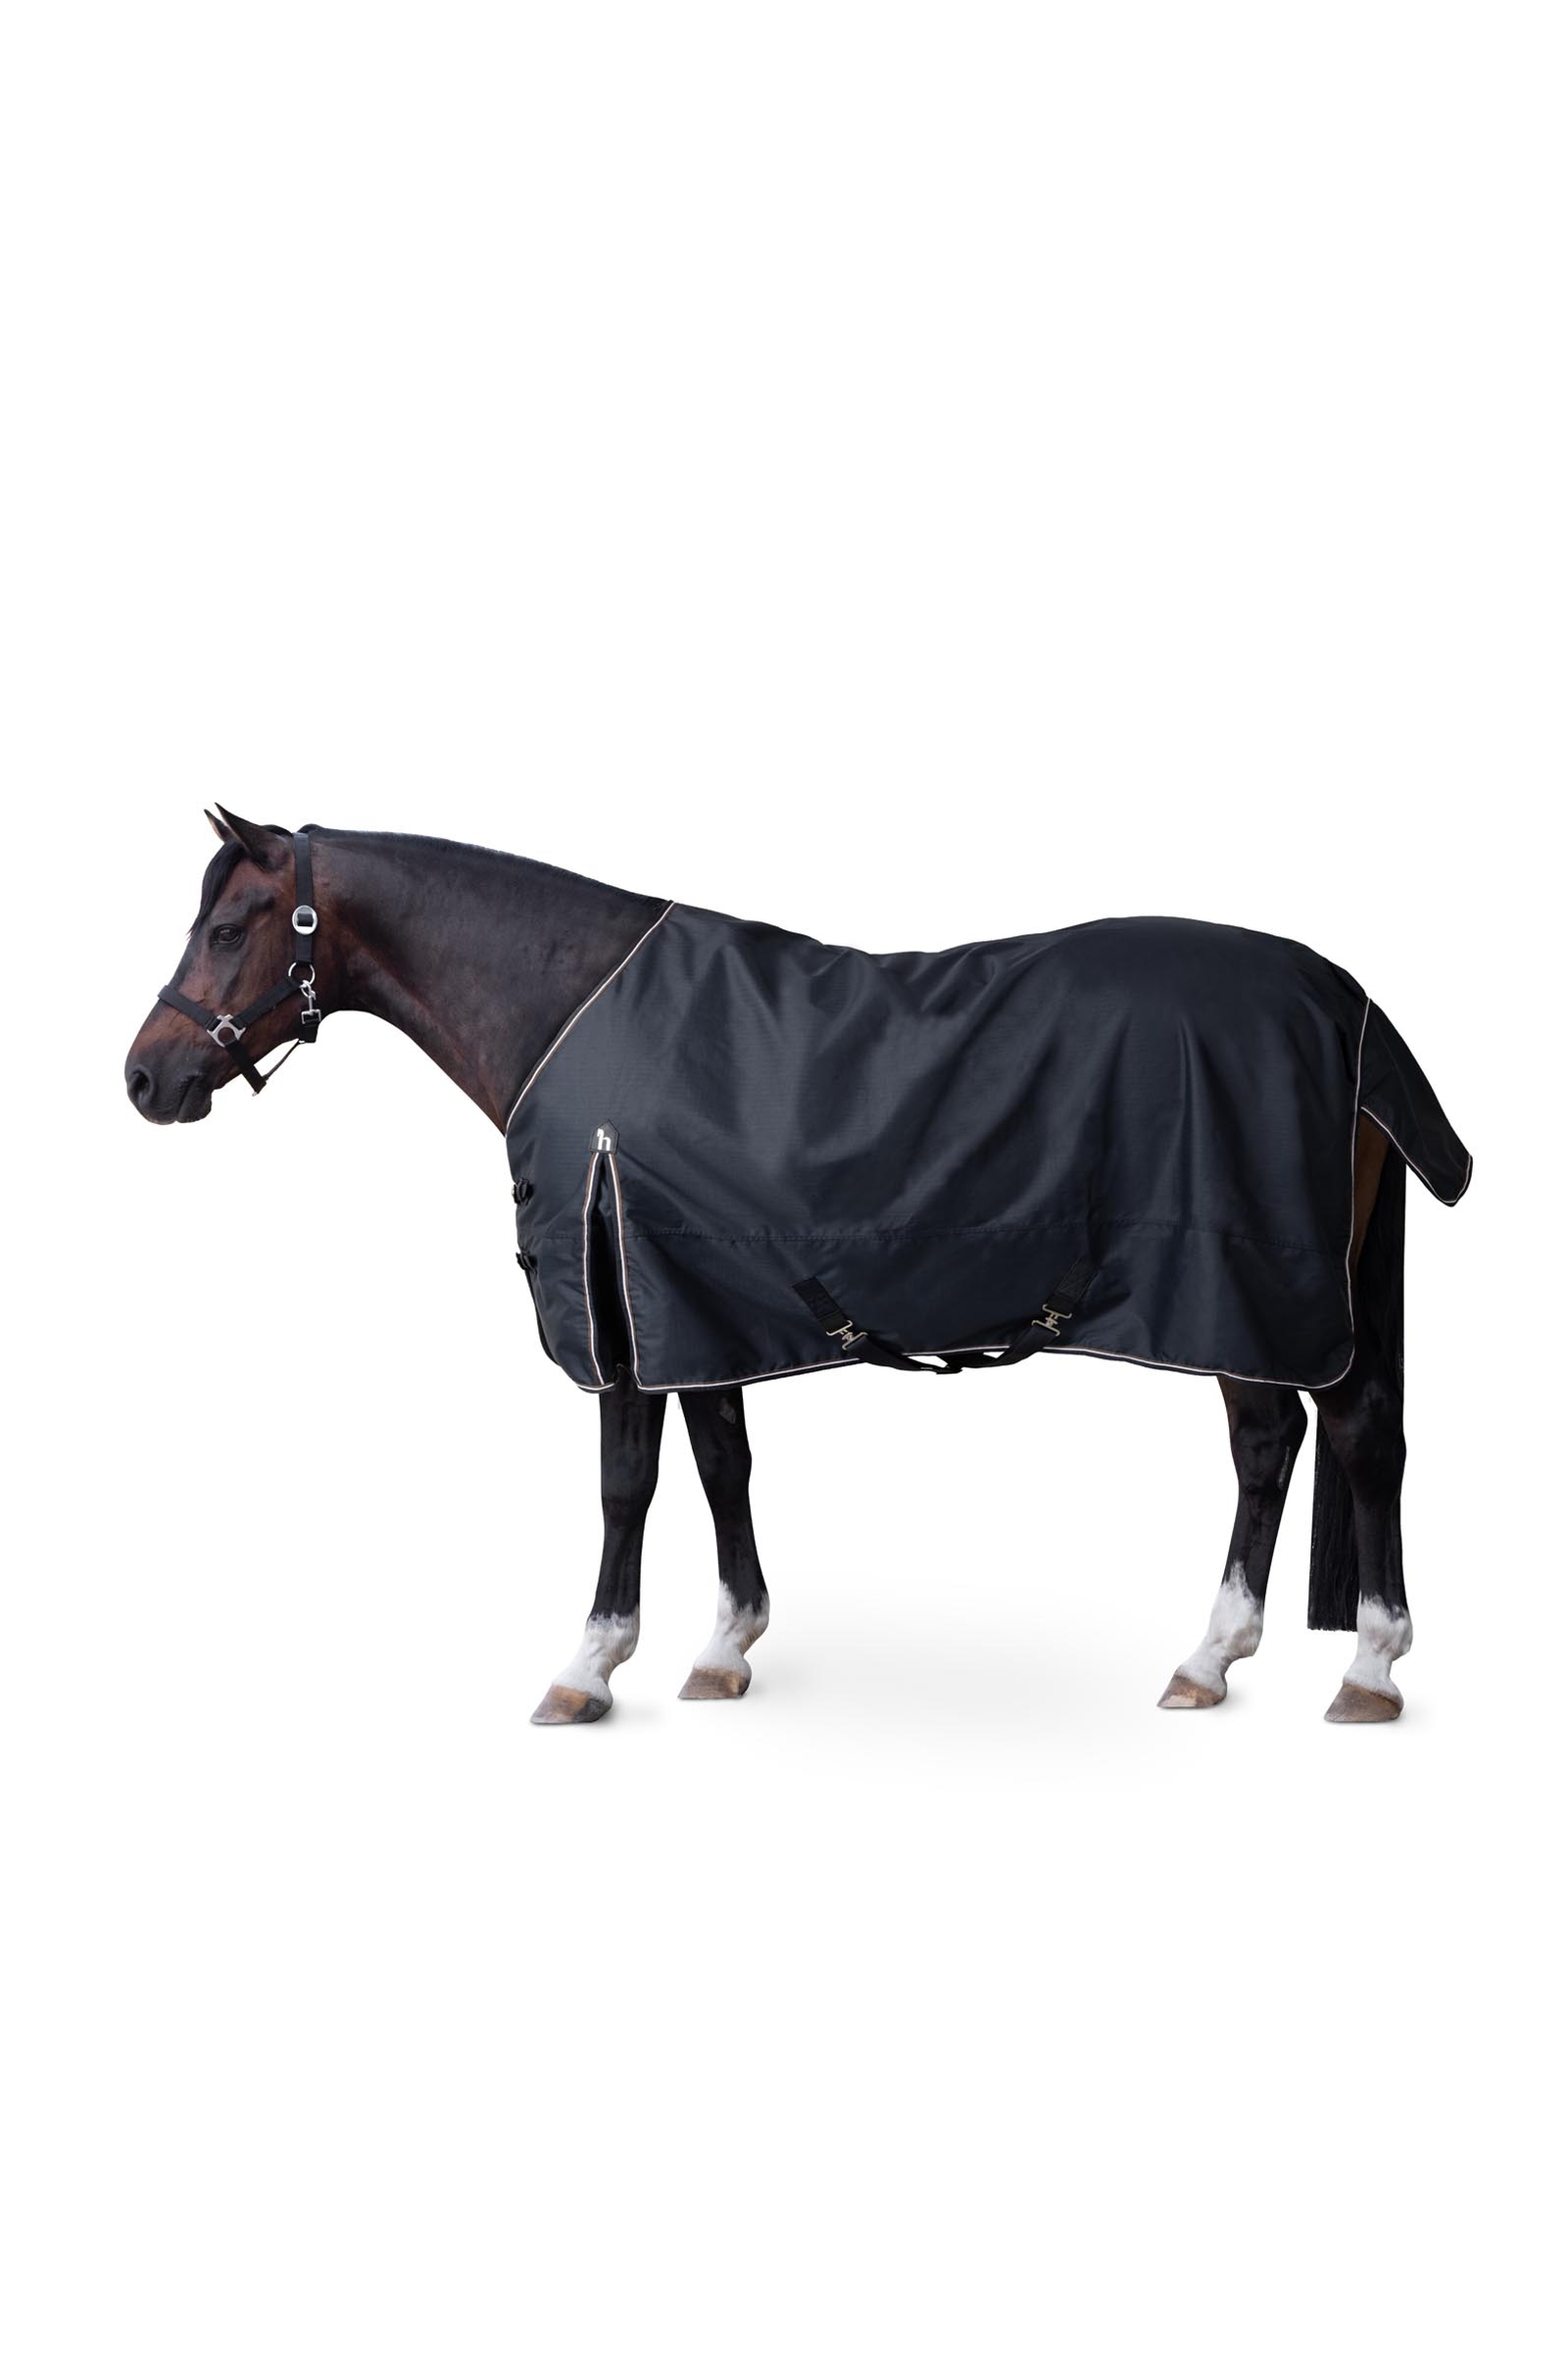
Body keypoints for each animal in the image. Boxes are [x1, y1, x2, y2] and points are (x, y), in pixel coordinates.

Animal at [124, 810, 1470, 1726]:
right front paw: (726, 1648)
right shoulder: (693, 1296)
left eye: (231, 927)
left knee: (1332, 1435)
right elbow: (723, 1463)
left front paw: (587, 1668)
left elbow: (625, 1485)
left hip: (1252, 1290)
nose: (145, 1077)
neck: (574, 1012)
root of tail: (1344, 1001)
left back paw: (1354, 1665)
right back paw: (1224, 1658)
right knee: (1289, 1442)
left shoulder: (619, 1308)